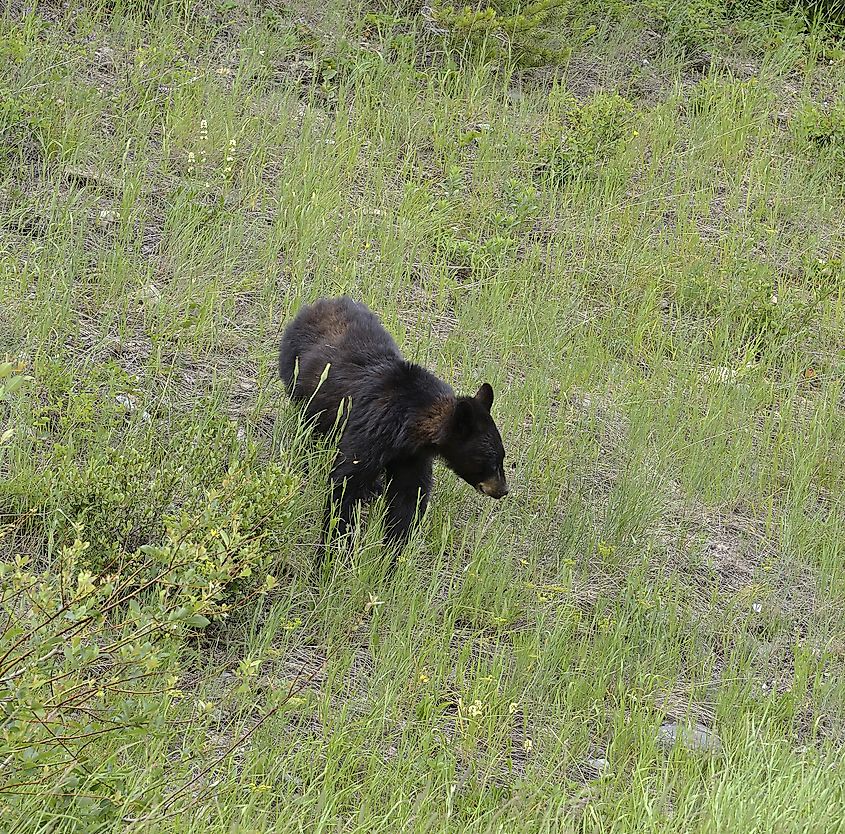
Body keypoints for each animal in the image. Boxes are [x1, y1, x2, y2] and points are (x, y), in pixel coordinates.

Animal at [279, 296, 508, 551]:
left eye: (501, 457)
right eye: (492, 461)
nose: (503, 490)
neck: (410, 425)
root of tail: (319, 303)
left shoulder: (412, 456)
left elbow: (408, 498)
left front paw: (393, 547)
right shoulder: (373, 432)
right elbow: (346, 482)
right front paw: (336, 545)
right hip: (301, 384)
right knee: (308, 429)